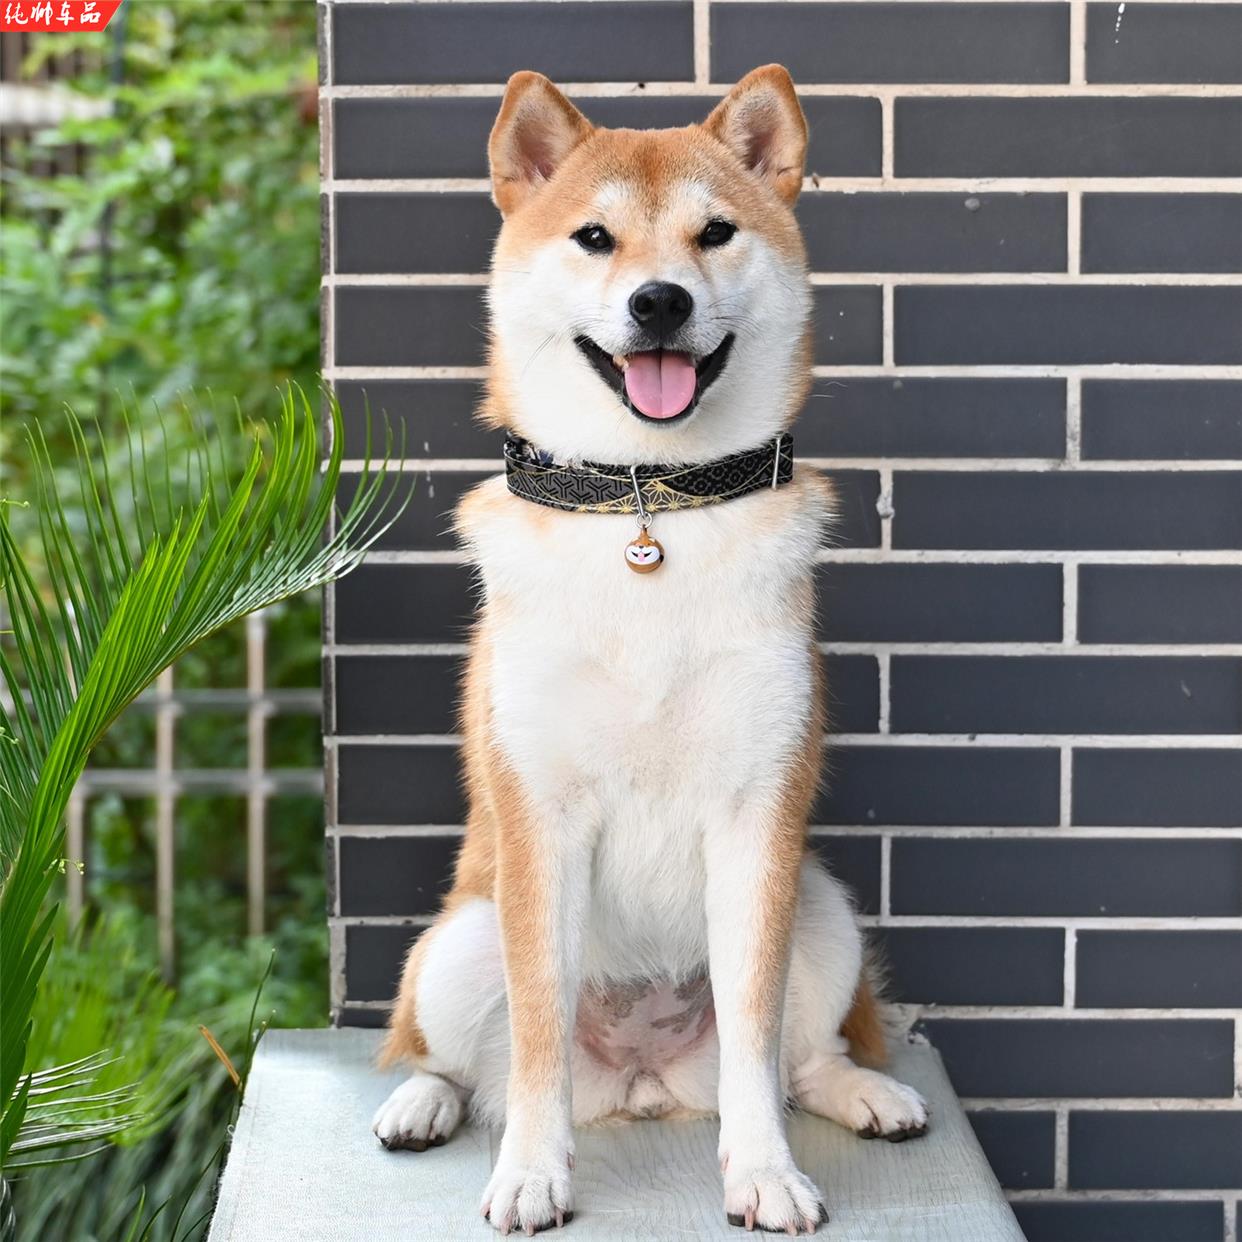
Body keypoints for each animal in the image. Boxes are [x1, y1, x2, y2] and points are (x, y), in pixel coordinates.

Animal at [372, 63, 929, 1227]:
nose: (660, 300)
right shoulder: (540, 818)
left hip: (824, 907)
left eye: (714, 233)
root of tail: (639, 1081)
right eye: (594, 238)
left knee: (803, 1057)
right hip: (455, 939)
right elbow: (536, 1030)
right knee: (452, 1060)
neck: (648, 506)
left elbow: (757, 1039)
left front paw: (765, 1174)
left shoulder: (759, 818)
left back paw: (867, 1093)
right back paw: (423, 1104)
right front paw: (531, 1174)